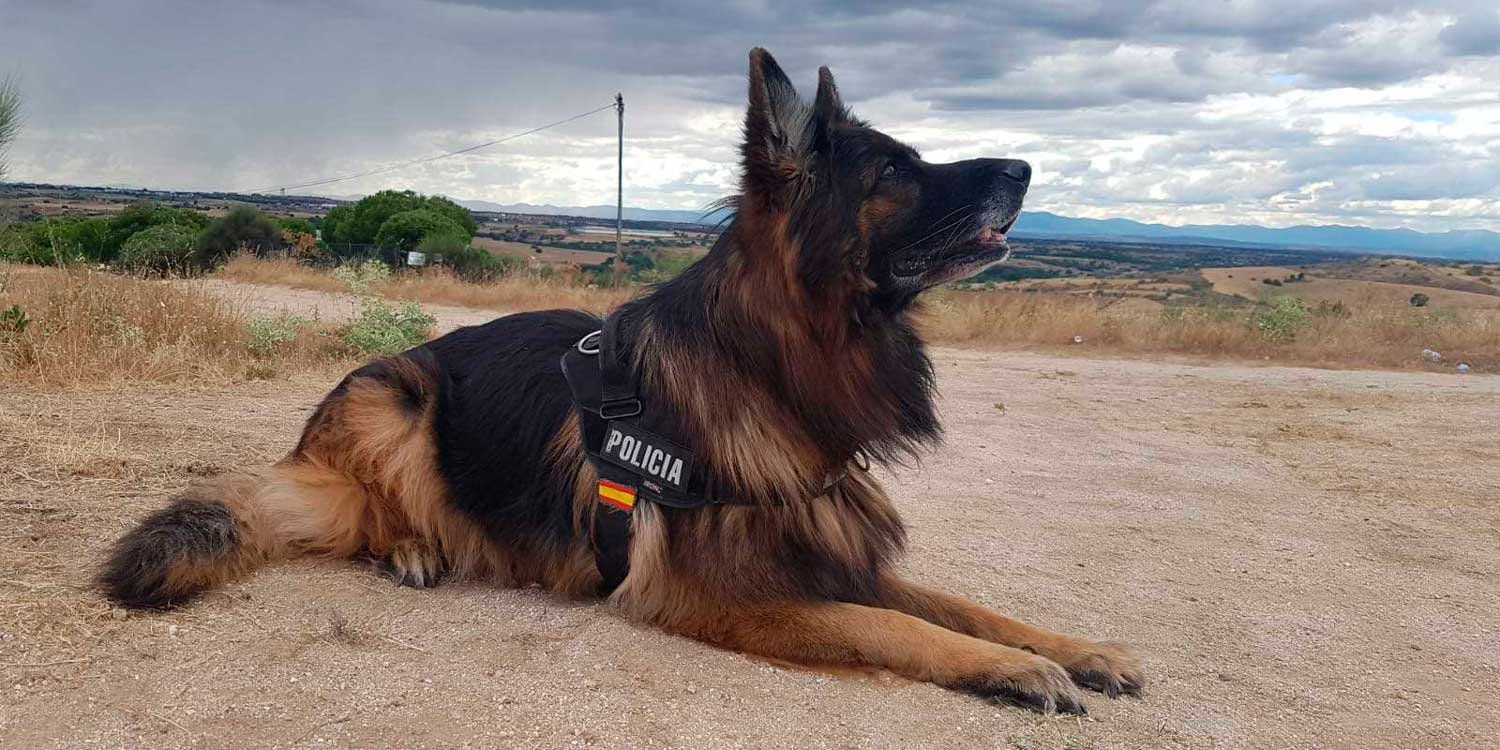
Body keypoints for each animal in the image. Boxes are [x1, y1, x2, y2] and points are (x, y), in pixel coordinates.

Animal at [102, 48, 1134, 714]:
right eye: (893, 169)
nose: (1026, 166)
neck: (768, 362)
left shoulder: (834, 550)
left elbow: (962, 607)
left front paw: (1077, 649)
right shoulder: (723, 595)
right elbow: (894, 630)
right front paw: (1012, 671)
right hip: (397, 398)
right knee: (370, 512)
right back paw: (413, 548)